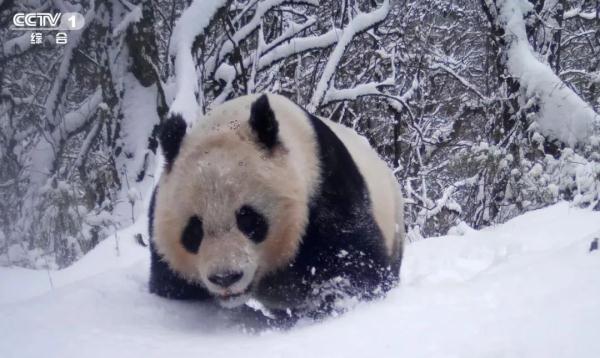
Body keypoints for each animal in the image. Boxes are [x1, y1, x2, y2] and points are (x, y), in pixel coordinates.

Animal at [148, 93, 406, 318]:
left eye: (248, 219)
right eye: (194, 230)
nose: (225, 277)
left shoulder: (325, 188)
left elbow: (356, 266)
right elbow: (171, 285)